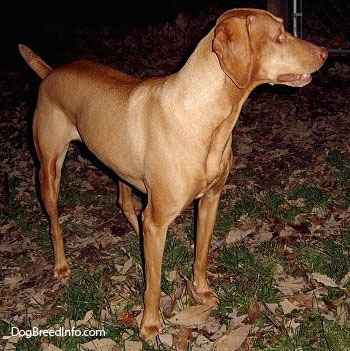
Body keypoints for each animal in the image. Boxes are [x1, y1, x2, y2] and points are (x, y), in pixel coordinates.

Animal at [18, 6, 326, 340]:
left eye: (285, 30)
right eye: (279, 36)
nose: (325, 52)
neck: (207, 116)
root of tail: (50, 72)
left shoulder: (210, 201)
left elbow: (201, 254)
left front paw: (201, 292)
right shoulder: (159, 216)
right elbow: (152, 284)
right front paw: (150, 323)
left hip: (119, 166)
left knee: (125, 203)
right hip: (49, 170)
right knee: (55, 222)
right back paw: (61, 265)